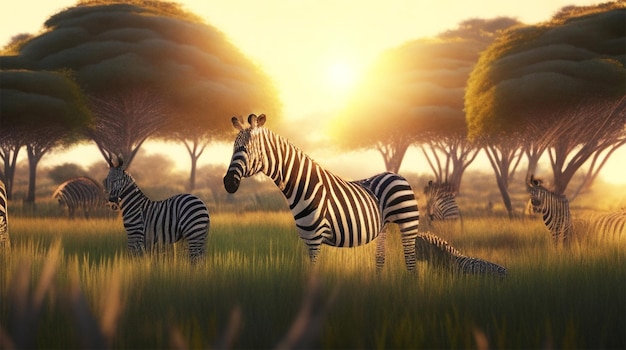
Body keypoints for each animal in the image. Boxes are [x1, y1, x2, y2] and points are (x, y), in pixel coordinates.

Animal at [224, 113, 420, 272]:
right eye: (233, 149)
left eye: (246, 149)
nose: (228, 183)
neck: (304, 186)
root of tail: (397, 175)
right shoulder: (306, 239)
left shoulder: (314, 240)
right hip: (384, 226)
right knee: (380, 258)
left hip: (408, 224)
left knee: (411, 263)